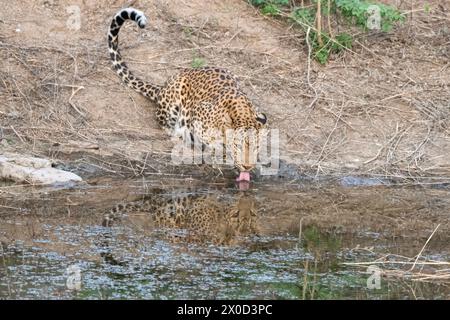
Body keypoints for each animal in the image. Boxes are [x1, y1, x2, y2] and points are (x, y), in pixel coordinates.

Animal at [107, 7, 268, 182]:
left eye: (256, 147)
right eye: (238, 146)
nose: (247, 167)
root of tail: (163, 87)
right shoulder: (198, 115)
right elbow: (211, 142)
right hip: (175, 96)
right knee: (164, 124)